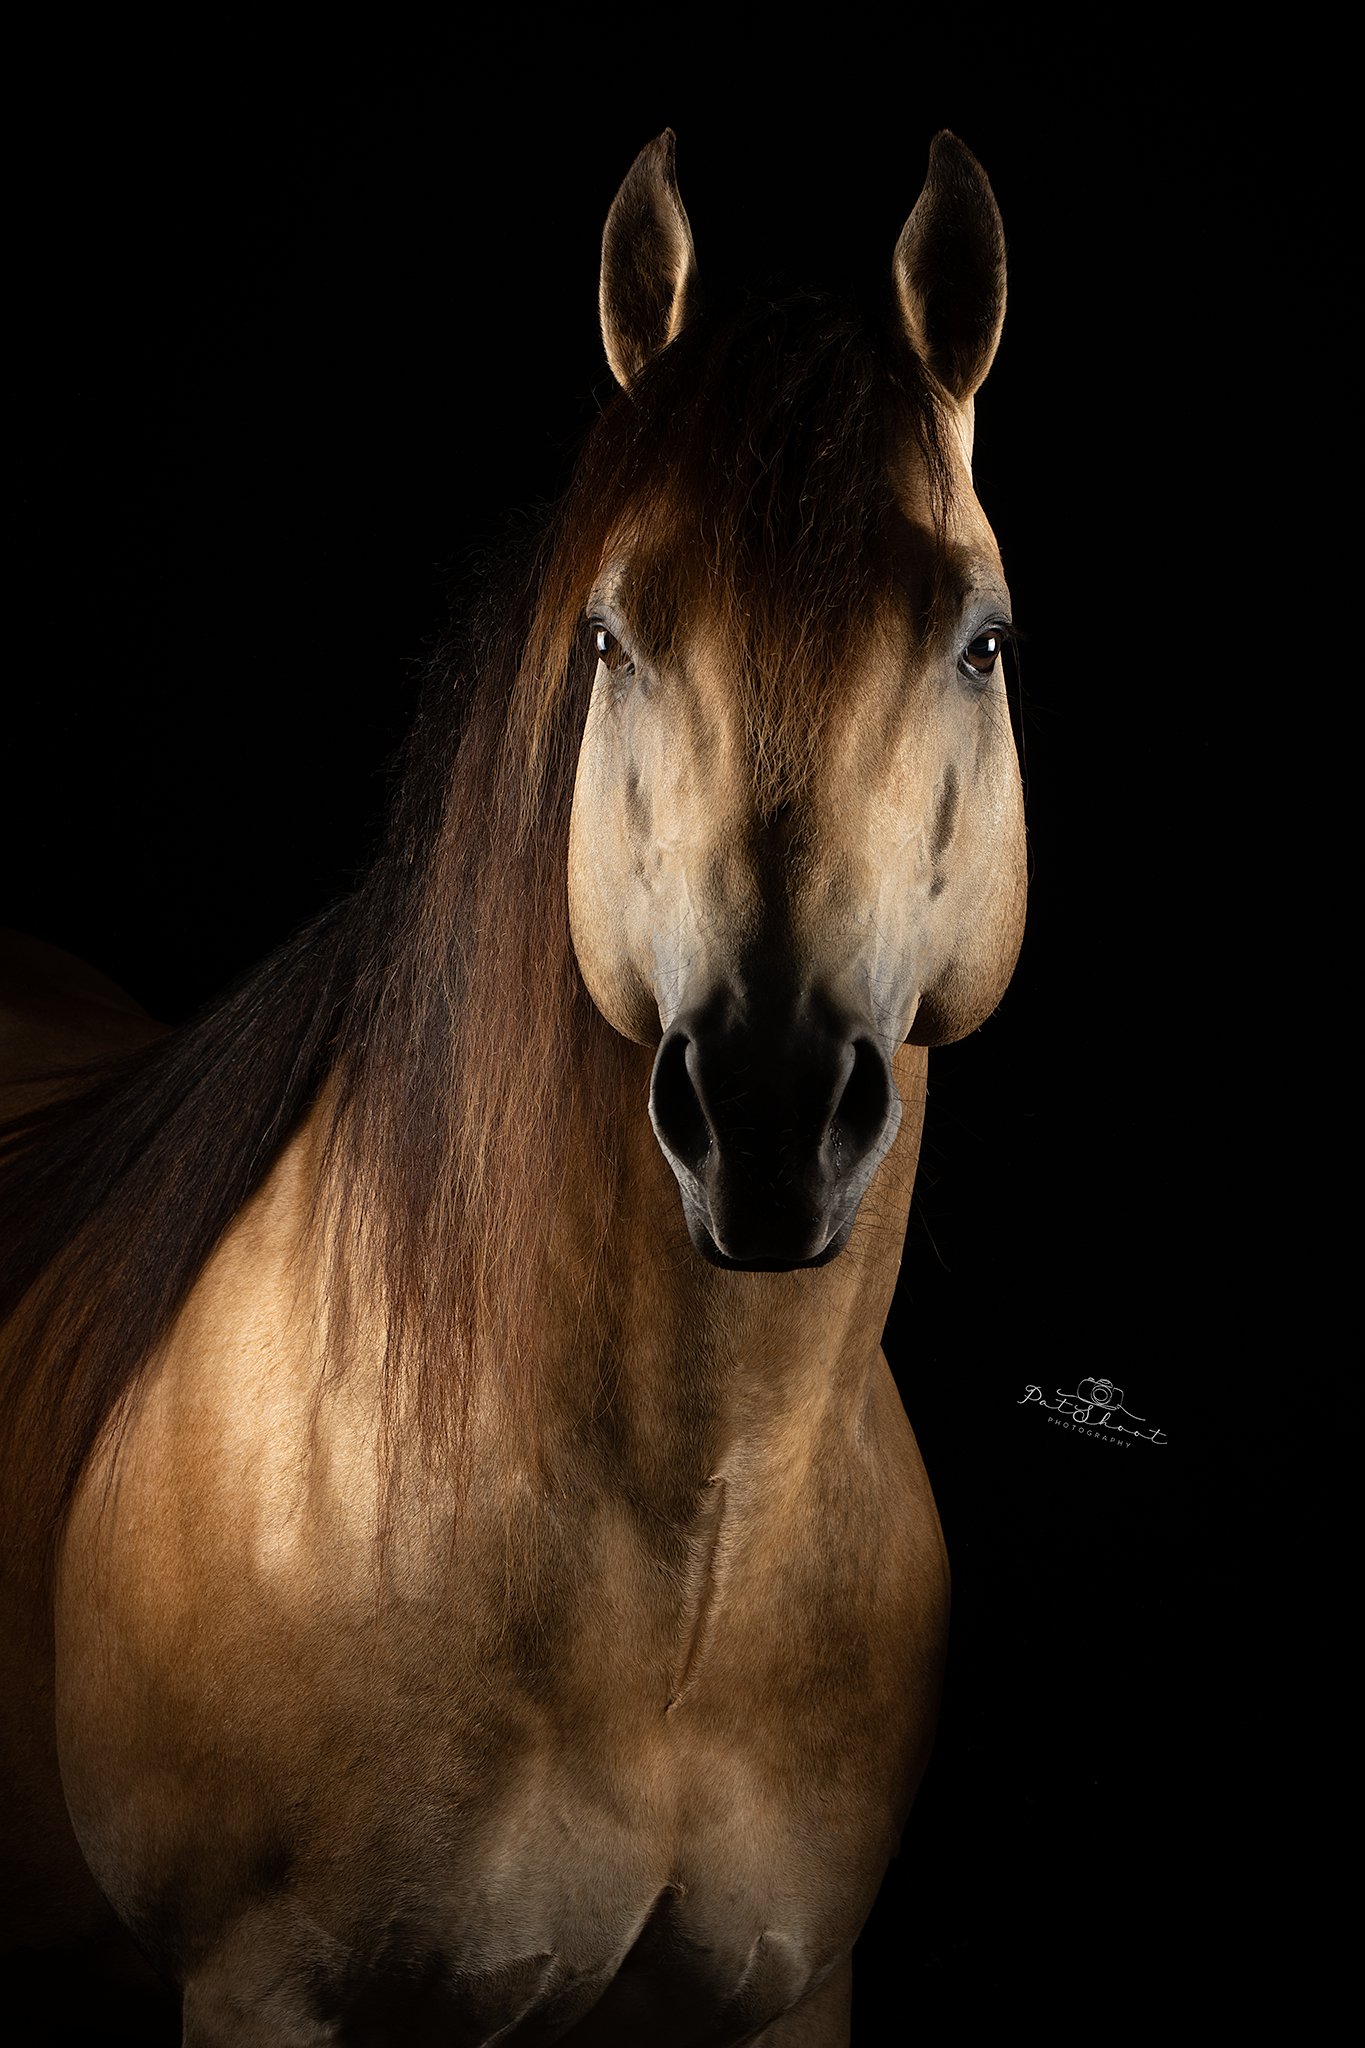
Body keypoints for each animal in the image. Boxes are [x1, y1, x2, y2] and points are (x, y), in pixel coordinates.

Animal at [0, 130, 1024, 2042]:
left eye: (981, 641)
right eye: (614, 639)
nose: (768, 1113)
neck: (685, 1562)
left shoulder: (795, 1993)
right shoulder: (260, 1989)